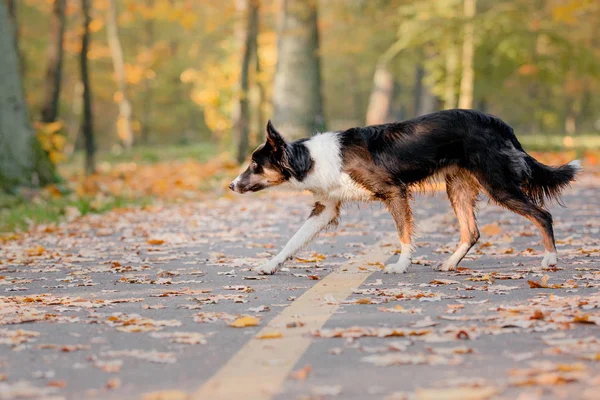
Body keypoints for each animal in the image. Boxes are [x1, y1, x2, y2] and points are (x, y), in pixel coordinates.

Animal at [229, 108, 580, 274]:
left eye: (255, 164)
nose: (231, 185)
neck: (311, 159)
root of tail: (498, 123)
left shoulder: (394, 192)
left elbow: (404, 234)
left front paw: (401, 265)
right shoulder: (325, 208)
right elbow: (293, 240)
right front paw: (270, 265)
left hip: (498, 184)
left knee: (542, 214)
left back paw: (550, 258)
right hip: (457, 188)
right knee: (472, 232)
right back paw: (450, 264)